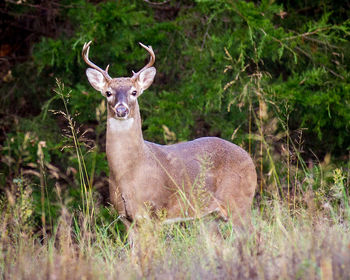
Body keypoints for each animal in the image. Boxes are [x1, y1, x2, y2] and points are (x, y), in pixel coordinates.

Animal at [82, 40, 258, 236]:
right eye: (108, 93)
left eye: (134, 92)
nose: (121, 110)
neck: (129, 172)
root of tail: (249, 159)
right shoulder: (125, 218)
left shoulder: (155, 212)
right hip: (209, 216)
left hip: (239, 201)